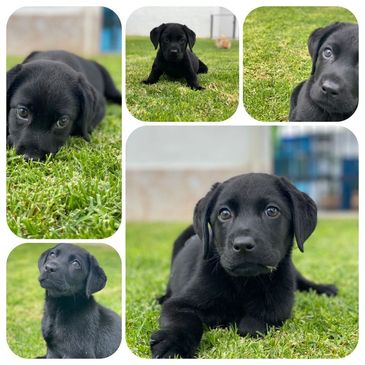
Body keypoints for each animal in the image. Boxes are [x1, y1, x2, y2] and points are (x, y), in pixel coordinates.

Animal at [150, 172, 336, 356]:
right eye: (224, 213)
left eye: (272, 211)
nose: (243, 245)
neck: (244, 283)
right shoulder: (179, 304)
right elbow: (186, 320)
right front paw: (172, 345)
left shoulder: (278, 306)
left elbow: (251, 326)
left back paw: (326, 289)